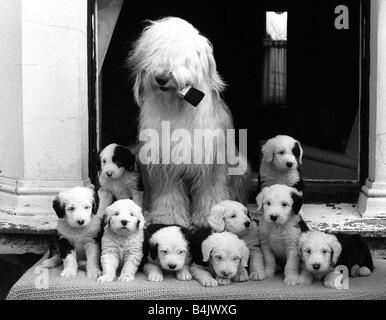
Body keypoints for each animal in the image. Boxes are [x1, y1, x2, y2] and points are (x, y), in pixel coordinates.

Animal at [126, 16, 247, 228]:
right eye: (155, 53)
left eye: (182, 57)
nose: (162, 78)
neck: (178, 107)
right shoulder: (163, 159)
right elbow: (168, 192)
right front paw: (168, 217)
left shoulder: (211, 158)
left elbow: (210, 190)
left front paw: (210, 216)